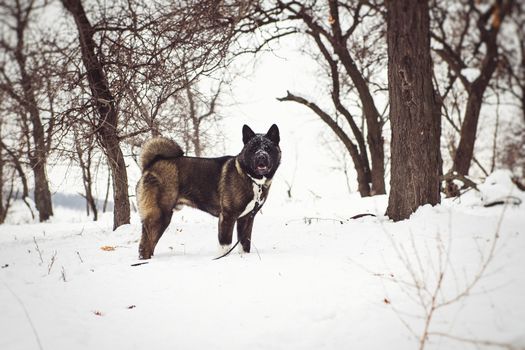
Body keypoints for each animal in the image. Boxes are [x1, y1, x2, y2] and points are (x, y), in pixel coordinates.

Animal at [137, 124, 280, 258]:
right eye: (253, 148)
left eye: (268, 148)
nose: (261, 156)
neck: (251, 178)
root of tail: (151, 165)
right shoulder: (227, 217)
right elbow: (225, 246)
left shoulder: (247, 218)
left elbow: (245, 244)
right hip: (159, 216)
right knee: (145, 246)